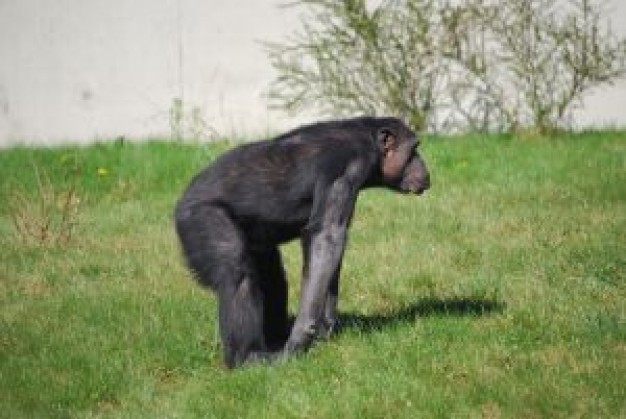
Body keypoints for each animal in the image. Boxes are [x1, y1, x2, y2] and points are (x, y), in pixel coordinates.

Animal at [176, 116, 428, 370]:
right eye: (413, 150)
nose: (423, 165)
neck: (369, 143)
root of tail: (181, 201)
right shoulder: (347, 168)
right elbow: (327, 238)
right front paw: (301, 338)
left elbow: (328, 248)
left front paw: (326, 329)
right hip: (201, 218)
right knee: (235, 271)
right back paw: (248, 356)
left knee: (273, 278)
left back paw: (275, 336)